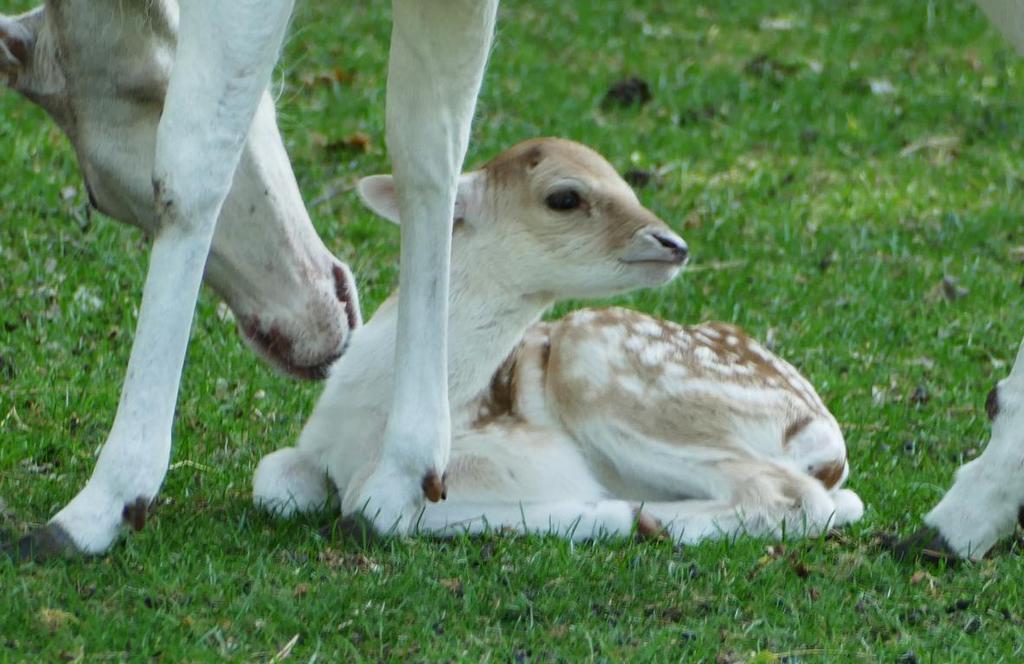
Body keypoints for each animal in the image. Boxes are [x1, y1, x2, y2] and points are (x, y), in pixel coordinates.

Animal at [253, 138, 864, 544]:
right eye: (564, 198)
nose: (673, 243)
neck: (364, 418)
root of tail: (822, 436)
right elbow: (273, 478)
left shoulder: (527, 457)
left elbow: (375, 504)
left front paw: (599, 512)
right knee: (838, 499)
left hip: (604, 368)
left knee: (793, 494)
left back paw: (647, 517)